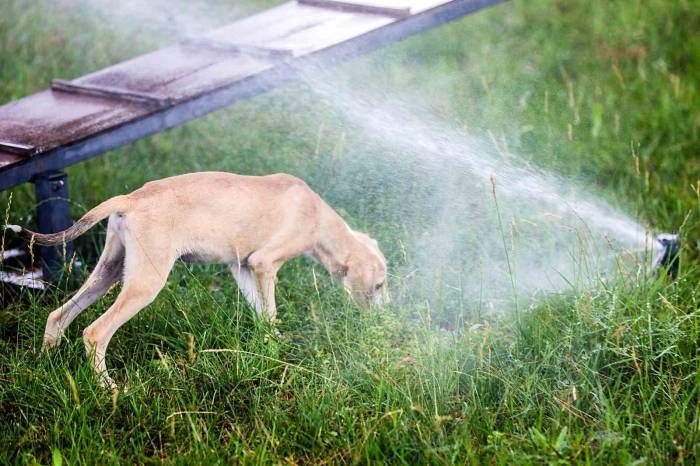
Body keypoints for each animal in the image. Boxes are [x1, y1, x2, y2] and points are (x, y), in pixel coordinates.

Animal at [8, 173, 386, 388]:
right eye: (381, 285)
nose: (382, 323)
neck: (318, 216)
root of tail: (131, 198)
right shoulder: (265, 264)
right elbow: (272, 311)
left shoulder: (244, 268)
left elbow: (263, 316)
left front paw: (273, 348)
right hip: (145, 282)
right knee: (95, 332)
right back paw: (107, 387)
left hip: (110, 272)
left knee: (58, 316)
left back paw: (42, 365)